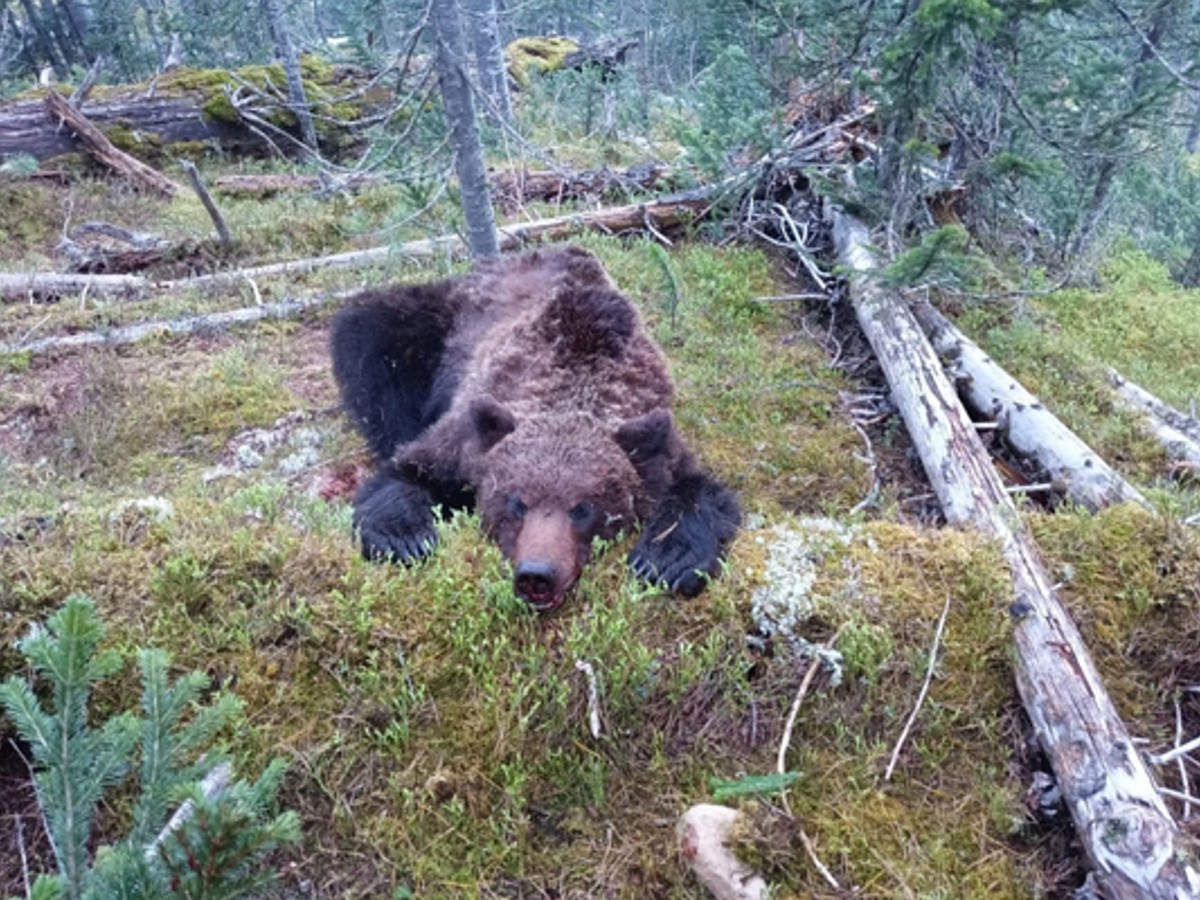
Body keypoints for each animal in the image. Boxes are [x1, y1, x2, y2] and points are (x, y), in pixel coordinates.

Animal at [331, 244, 739, 614]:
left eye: (583, 508)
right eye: (517, 502)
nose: (537, 574)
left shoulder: (656, 438)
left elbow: (700, 492)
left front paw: (666, 559)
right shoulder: (467, 436)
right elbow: (407, 470)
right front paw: (405, 538)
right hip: (438, 322)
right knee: (371, 335)